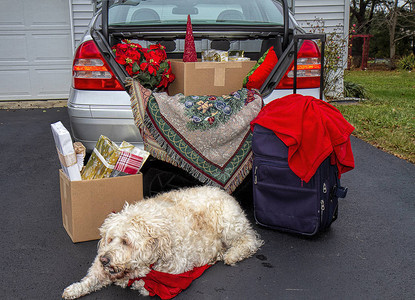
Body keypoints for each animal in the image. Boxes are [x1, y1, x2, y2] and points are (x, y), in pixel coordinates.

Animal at [62, 186, 264, 298]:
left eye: (126, 241)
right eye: (110, 239)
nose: (104, 259)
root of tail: (224, 192)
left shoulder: (176, 269)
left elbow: (142, 283)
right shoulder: (101, 270)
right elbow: (91, 279)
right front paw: (74, 289)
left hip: (229, 225)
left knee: (250, 240)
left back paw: (232, 254)